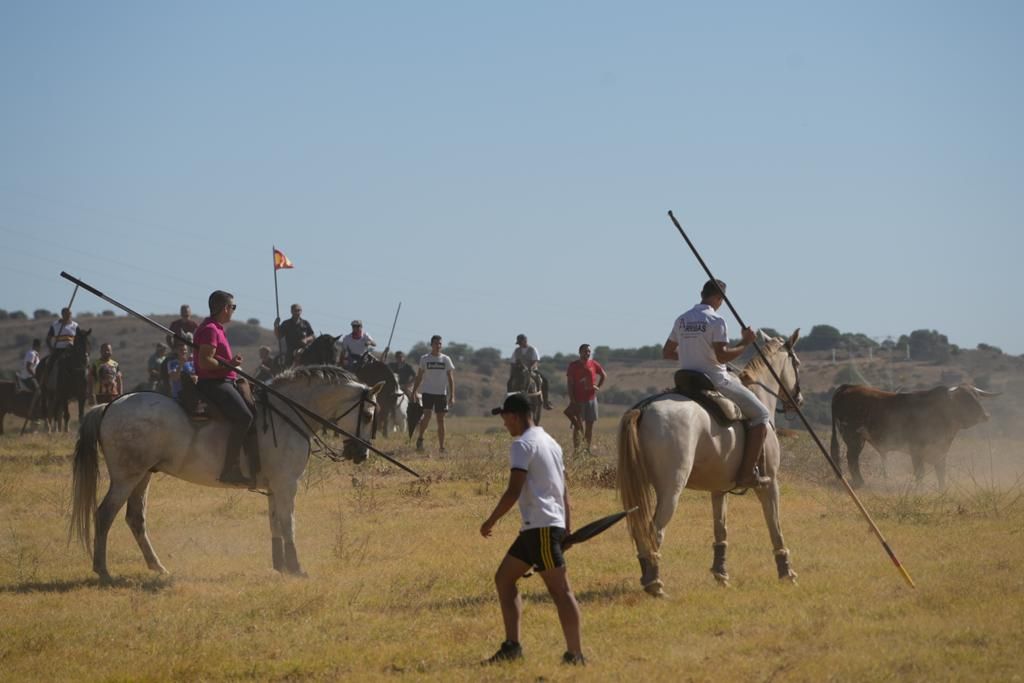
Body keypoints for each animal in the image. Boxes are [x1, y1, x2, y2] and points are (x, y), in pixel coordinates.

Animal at [71, 366, 385, 585]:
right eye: (368, 415)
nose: (362, 454)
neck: (287, 413)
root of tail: (109, 406)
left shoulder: (275, 487)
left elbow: (275, 523)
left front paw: (280, 566)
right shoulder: (286, 484)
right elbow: (288, 523)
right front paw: (296, 568)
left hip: (143, 476)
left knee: (135, 518)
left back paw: (157, 566)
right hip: (127, 477)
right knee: (104, 514)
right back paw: (103, 570)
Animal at [618, 329, 802, 593]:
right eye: (797, 363)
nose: (798, 400)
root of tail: (644, 410)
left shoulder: (719, 488)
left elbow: (720, 528)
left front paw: (721, 573)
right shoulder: (770, 483)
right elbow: (775, 528)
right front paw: (787, 572)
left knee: (642, 529)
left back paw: (648, 577)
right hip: (671, 489)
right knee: (654, 531)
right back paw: (655, 583)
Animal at [827, 382, 995, 489]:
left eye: (977, 397)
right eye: (965, 399)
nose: (985, 416)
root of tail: (849, 387)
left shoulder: (941, 450)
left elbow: (941, 471)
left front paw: (942, 489)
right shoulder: (916, 450)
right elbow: (920, 472)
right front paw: (920, 489)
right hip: (854, 438)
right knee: (852, 459)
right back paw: (860, 483)